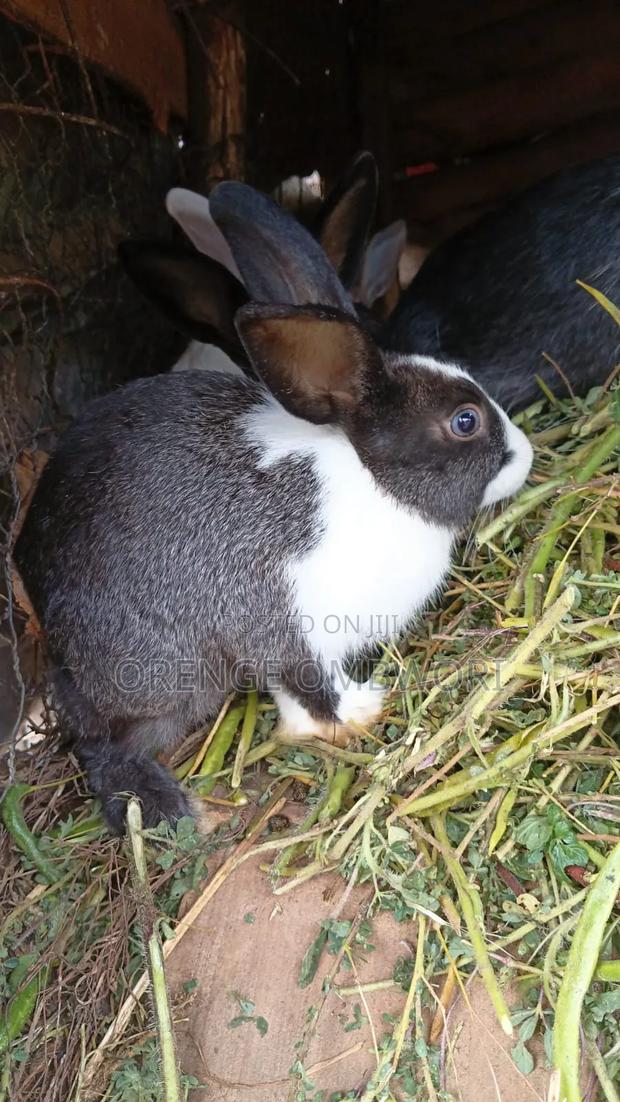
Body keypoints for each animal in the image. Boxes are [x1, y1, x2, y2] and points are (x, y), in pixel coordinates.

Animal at [14, 179, 533, 833]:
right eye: (465, 422)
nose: (526, 455)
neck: (372, 480)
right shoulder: (284, 623)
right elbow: (309, 684)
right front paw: (362, 712)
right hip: (162, 672)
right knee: (103, 746)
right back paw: (162, 809)